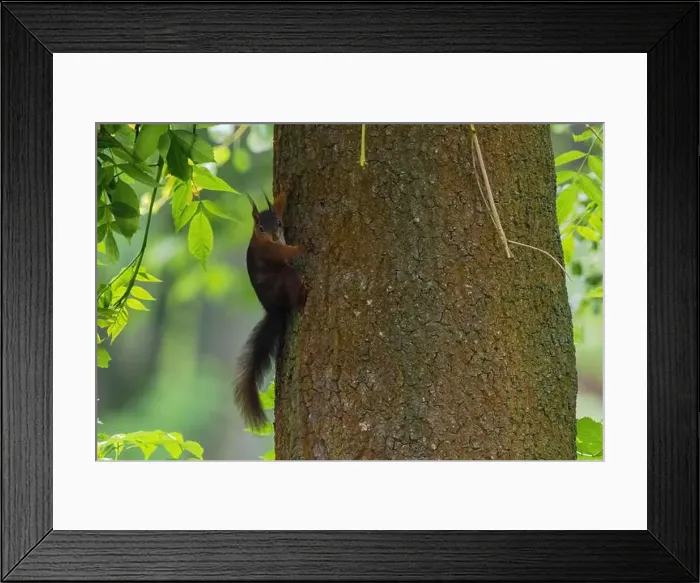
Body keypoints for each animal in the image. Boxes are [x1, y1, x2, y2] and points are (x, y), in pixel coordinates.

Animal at [234, 187, 308, 430]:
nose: (275, 236)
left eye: (278, 222)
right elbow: (284, 253)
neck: (260, 240)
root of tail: (274, 310)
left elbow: (280, 202)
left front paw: (285, 193)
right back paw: (303, 295)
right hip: (286, 278)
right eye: (260, 227)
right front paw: (301, 247)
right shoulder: (270, 251)